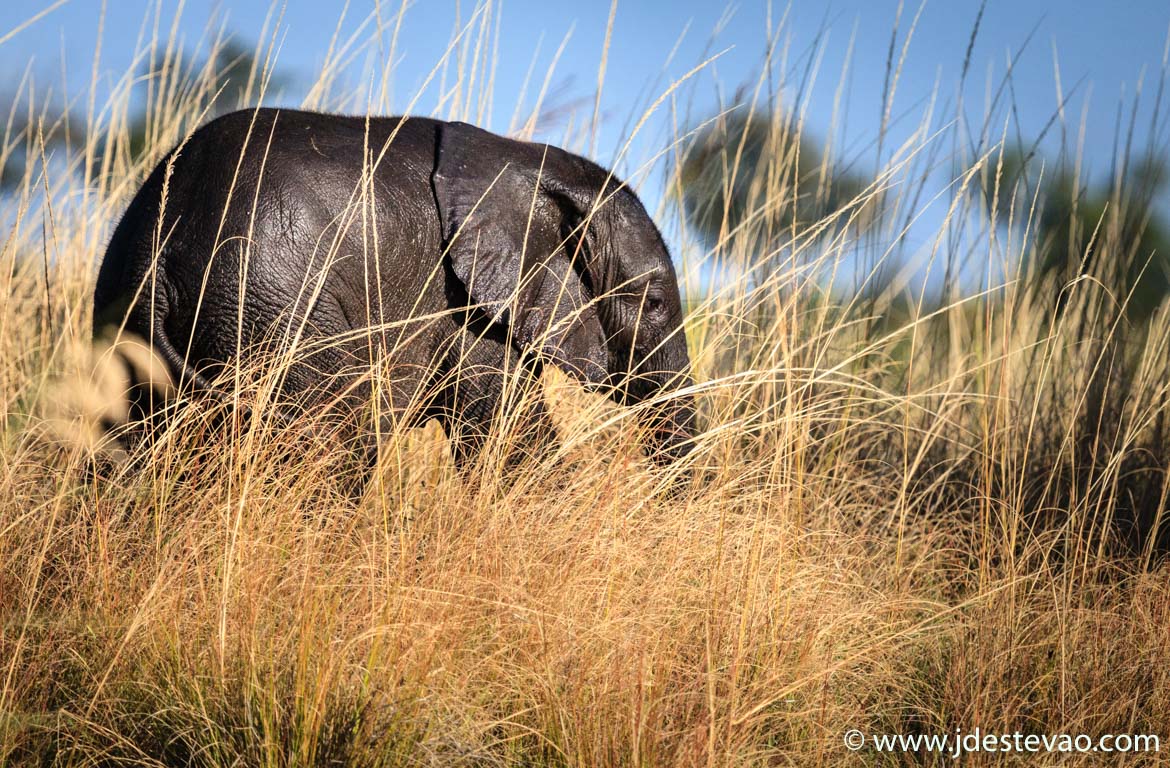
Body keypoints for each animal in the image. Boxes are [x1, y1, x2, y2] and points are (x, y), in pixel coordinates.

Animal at [93, 107, 692, 479]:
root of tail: (160, 249)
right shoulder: (465, 306)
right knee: (327, 453)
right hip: (274, 313)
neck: (532, 160)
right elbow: (515, 447)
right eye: (654, 303)